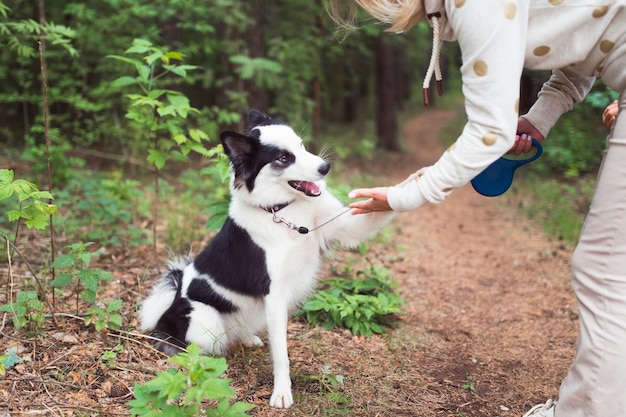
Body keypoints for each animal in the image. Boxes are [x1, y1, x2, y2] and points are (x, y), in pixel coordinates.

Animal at [139, 108, 392, 406]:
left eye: (301, 146)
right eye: (283, 158)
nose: (325, 167)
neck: (281, 210)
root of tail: (170, 302)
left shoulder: (345, 227)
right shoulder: (275, 294)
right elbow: (281, 354)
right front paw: (282, 392)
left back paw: (247, 338)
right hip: (204, 319)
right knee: (192, 348)